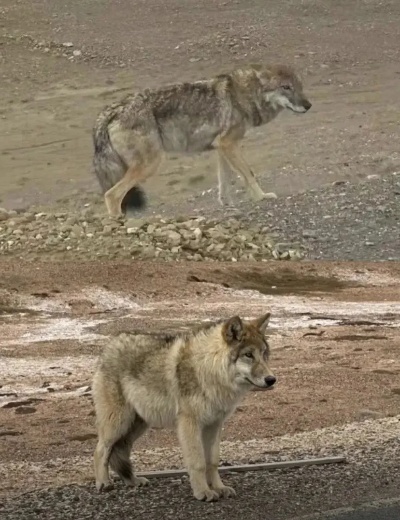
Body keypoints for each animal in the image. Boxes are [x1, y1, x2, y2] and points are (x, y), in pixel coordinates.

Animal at [92, 64, 310, 216]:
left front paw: (228, 204)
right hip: (149, 165)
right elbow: (249, 174)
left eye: (299, 86)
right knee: (111, 195)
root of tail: (109, 111)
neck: (244, 95)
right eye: (285, 87)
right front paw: (261, 197)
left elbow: (225, 181)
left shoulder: (222, 147)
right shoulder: (229, 144)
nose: (308, 105)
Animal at [92, 310, 276, 502]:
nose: (271, 379)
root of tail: (109, 345)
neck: (208, 369)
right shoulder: (190, 423)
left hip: (138, 425)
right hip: (118, 423)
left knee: (121, 450)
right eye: (248, 355)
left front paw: (219, 488)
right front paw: (203, 492)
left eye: (264, 354)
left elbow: (212, 461)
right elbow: (198, 462)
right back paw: (103, 483)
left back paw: (133, 480)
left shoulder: (214, 424)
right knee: (100, 450)